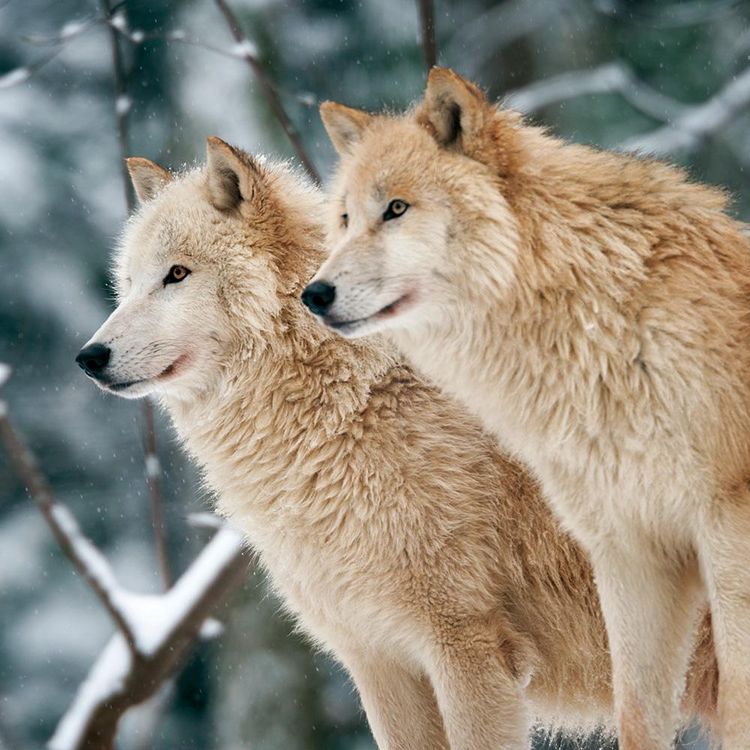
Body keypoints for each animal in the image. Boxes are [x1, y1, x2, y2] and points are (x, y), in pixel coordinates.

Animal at [77, 138, 716, 750]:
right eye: (127, 284)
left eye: (177, 275)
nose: (89, 357)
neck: (352, 405)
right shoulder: (378, 661)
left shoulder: (467, 646)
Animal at [304, 67, 750, 749]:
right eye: (347, 218)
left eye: (397, 208)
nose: (314, 294)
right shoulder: (631, 553)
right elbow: (638, 714)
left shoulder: (727, 528)